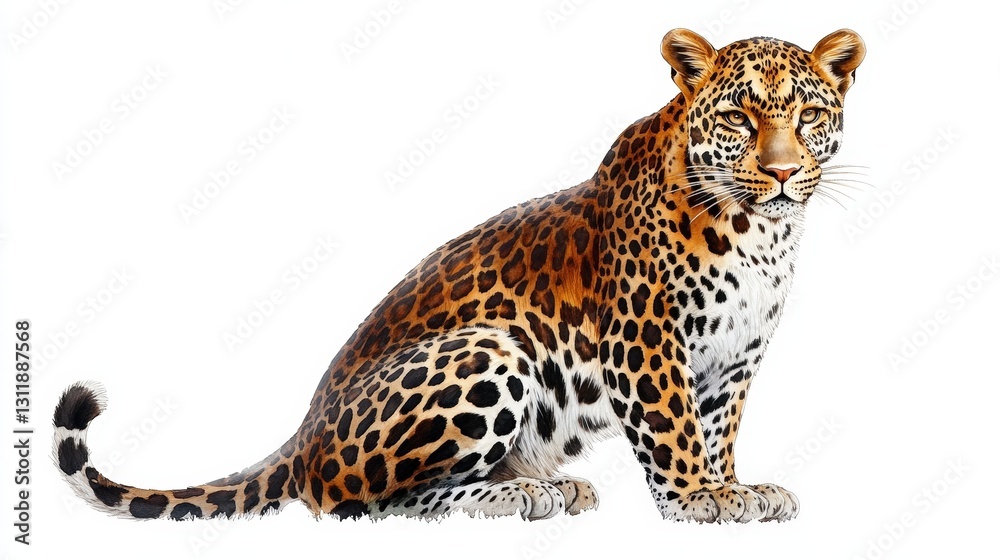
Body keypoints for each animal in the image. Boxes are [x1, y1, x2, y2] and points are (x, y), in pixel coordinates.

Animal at [53, 28, 865, 523]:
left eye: (809, 114)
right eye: (738, 119)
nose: (784, 173)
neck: (762, 235)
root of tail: (303, 435)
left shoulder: (735, 356)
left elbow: (718, 427)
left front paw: (735, 487)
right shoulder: (645, 339)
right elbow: (674, 428)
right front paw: (700, 500)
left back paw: (544, 483)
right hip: (490, 349)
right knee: (353, 503)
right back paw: (514, 498)